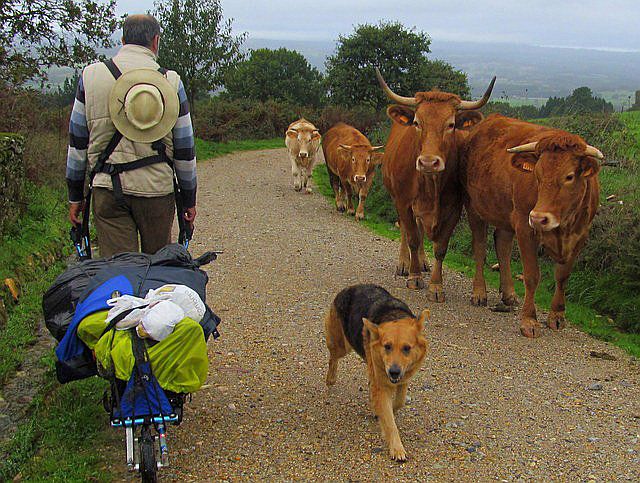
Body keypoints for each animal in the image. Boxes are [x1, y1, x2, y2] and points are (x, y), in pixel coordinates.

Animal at [328, 286, 428, 464]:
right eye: (387, 346)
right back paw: (330, 378)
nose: (393, 371)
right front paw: (397, 448)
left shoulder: (403, 377)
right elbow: (389, 421)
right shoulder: (382, 385)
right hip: (342, 346)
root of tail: (350, 287)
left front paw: (382, 410)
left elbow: (399, 401)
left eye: (407, 348)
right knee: (333, 357)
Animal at [376, 68, 496, 302]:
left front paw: (436, 286)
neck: (430, 185)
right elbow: (412, 238)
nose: (428, 162)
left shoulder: (452, 209)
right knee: (406, 231)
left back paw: (423, 262)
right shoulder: (404, 202)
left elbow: (440, 247)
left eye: (451, 125)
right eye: (417, 123)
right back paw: (405, 264)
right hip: (396, 198)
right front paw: (413, 276)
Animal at [462, 115, 604, 338]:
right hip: (474, 206)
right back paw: (479, 292)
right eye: (537, 175)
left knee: (502, 245)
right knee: (480, 247)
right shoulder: (525, 226)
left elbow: (563, 276)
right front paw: (529, 320)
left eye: (569, 176)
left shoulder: (580, 235)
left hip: (506, 213)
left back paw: (509, 294)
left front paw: (557, 316)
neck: (563, 225)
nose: (538, 218)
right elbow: (531, 276)